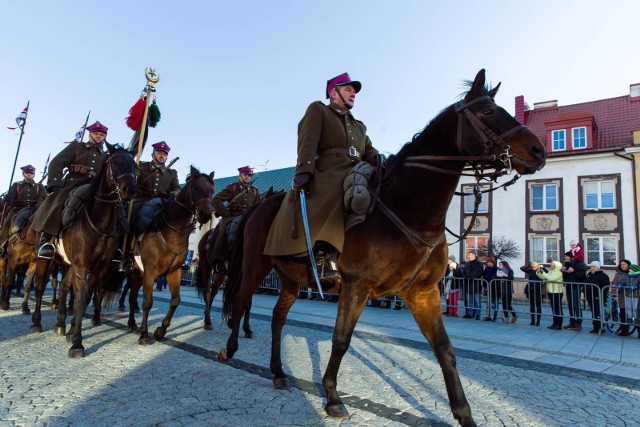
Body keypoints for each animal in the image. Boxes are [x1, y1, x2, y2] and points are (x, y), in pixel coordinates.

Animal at [29, 145, 138, 360]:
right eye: (115, 163)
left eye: (135, 166)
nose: (129, 190)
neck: (100, 222)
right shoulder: (82, 265)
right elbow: (79, 300)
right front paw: (77, 343)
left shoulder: (98, 268)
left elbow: (85, 297)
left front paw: (72, 332)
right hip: (46, 259)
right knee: (39, 288)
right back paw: (36, 322)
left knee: (64, 286)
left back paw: (60, 324)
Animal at [122, 166, 215, 346]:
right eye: (195, 188)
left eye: (211, 191)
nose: (206, 214)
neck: (171, 232)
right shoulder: (150, 272)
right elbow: (147, 302)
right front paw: (145, 335)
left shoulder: (175, 272)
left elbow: (175, 301)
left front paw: (160, 331)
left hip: (137, 274)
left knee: (132, 296)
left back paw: (131, 324)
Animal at [218, 70, 548, 427]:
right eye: (487, 111)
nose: (539, 150)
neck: (407, 209)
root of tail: (259, 205)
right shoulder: (356, 287)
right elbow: (341, 339)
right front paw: (332, 396)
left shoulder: (422, 292)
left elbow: (444, 349)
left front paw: (464, 414)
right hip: (255, 267)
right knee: (241, 303)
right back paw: (228, 349)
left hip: (291, 278)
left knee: (278, 318)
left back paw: (278, 372)